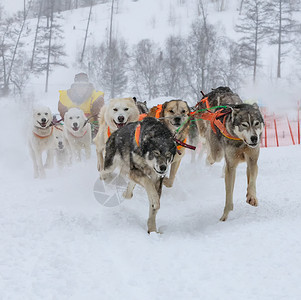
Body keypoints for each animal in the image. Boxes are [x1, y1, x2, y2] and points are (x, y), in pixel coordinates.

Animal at [195, 86, 262, 220]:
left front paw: (251, 197)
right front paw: (225, 214)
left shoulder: (252, 160)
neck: (241, 142)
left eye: (257, 123)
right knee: (210, 156)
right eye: (244, 124)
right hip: (217, 152)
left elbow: (251, 181)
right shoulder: (231, 166)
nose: (254, 138)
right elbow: (229, 193)